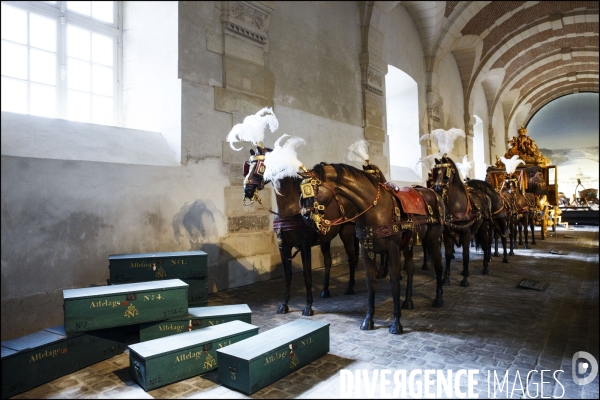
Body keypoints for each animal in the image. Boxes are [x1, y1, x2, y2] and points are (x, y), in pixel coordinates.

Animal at [241, 145, 358, 318]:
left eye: (262, 166)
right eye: (248, 166)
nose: (248, 190)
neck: (290, 208)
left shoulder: (304, 246)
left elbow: (307, 274)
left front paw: (308, 307)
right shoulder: (283, 246)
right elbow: (287, 275)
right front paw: (284, 304)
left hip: (347, 233)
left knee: (351, 259)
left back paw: (350, 288)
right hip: (326, 238)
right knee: (328, 261)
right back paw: (325, 290)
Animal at [300, 162, 446, 334]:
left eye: (309, 191)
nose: (305, 217)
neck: (375, 209)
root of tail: (434, 194)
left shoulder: (392, 248)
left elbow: (394, 281)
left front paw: (396, 323)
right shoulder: (366, 248)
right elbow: (371, 282)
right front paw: (368, 320)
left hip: (433, 239)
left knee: (438, 267)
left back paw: (438, 299)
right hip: (408, 244)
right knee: (410, 268)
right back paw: (408, 301)